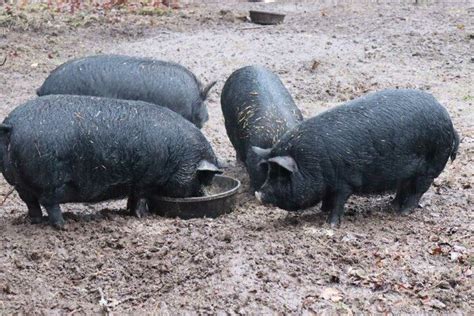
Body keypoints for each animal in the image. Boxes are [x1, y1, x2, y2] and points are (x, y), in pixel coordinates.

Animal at [0, 95, 222, 228]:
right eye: (203, 178)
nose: (203, 195)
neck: (179, 156)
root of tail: (12, 125)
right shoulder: (145, 179)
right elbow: (140, 197)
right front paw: (142, 216)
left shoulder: (136, 182)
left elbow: (132, 198)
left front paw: (129, 211)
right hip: (48, 181)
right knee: (49, 203)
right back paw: (63, 225)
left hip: (18, 182)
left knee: (30, 202)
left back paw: (36, 221)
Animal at [256, 89, 460, 227]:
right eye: (270, 173)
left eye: (282, 175)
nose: (258, 194)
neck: (313, 163)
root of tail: (450, 122)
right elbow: (327, 201)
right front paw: (322, 211)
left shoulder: (344, 183)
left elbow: (338, 203)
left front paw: (330, 224)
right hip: (408, 172)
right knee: (403, 188)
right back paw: (392, 206)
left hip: (431, 166)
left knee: (418, 191)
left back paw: (403, 212)